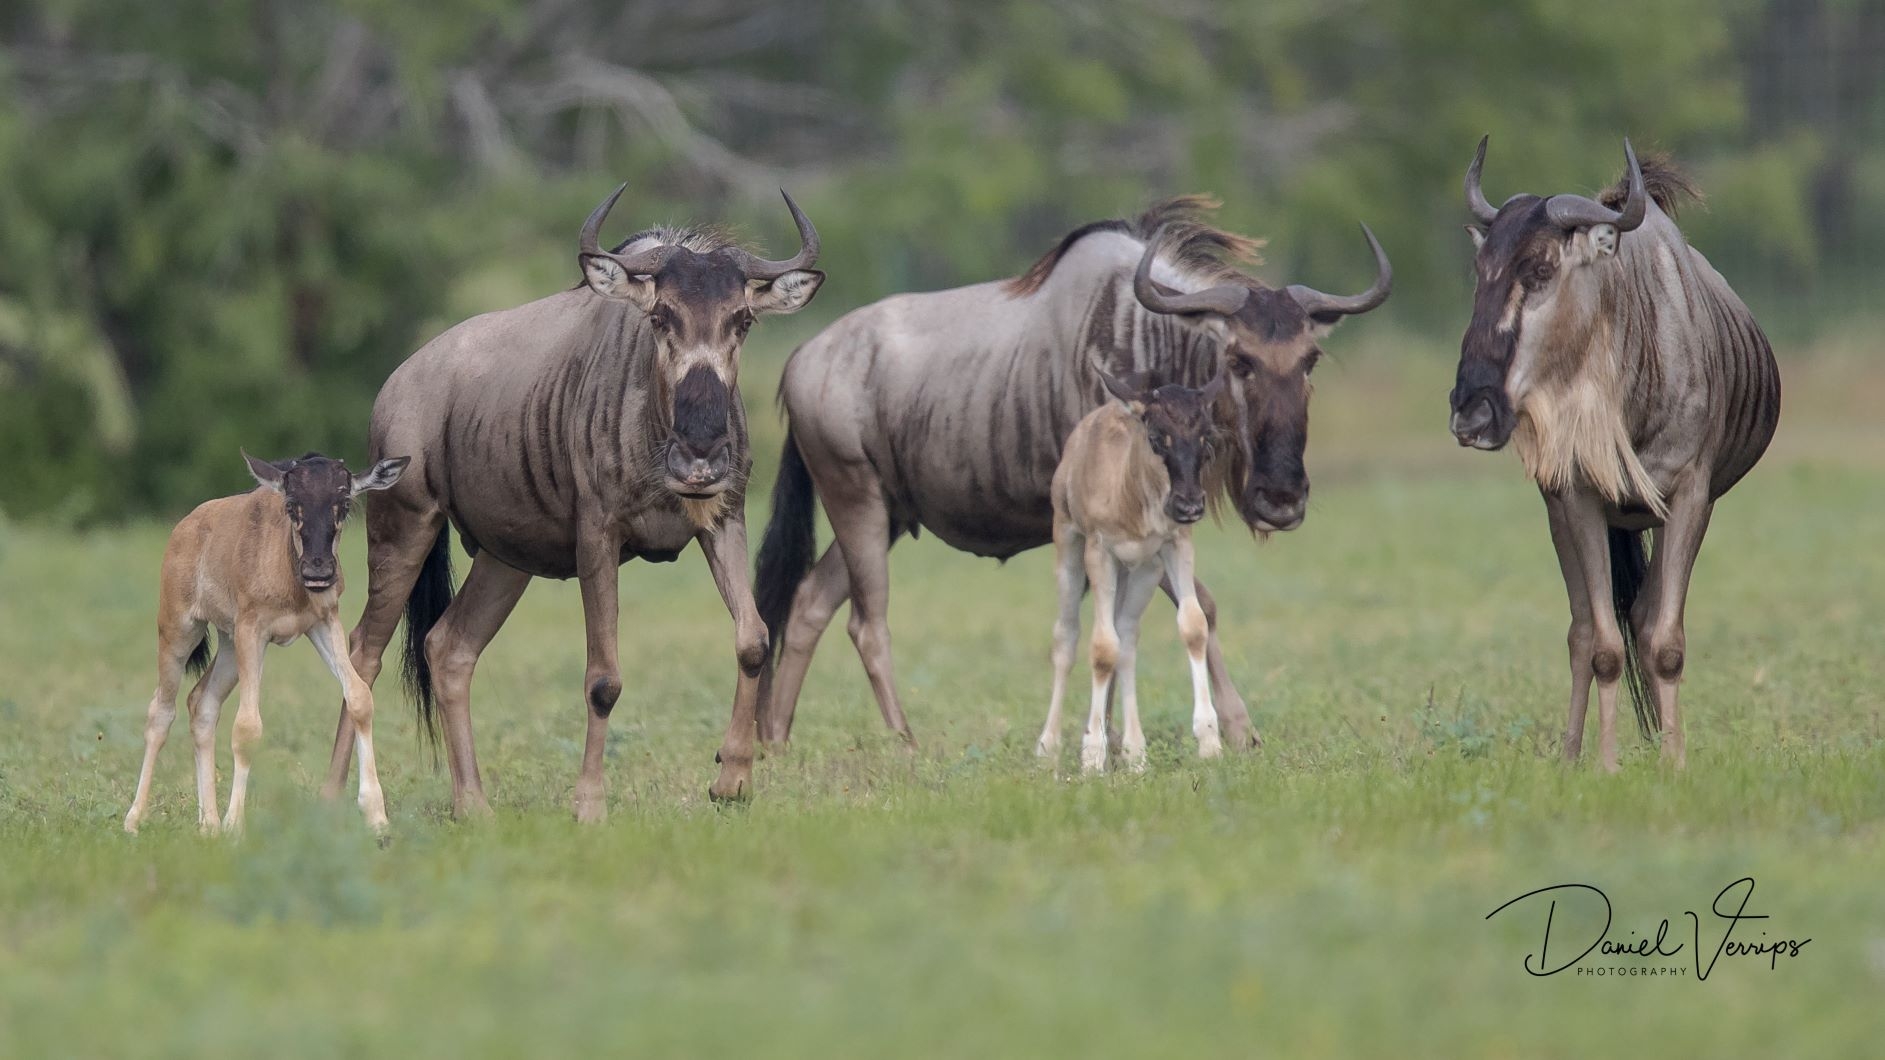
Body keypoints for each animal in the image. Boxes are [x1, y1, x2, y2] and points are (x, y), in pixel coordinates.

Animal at [123, 448, 410, 829]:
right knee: (161, 710)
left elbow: (359, 696)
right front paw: (235, 825)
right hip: (179, 628)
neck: (288, 571)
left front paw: (377, 817)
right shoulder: (252, 629)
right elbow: (247, 727)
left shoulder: (323, 621)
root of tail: (184, 527)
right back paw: (134, 819)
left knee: (202, 702)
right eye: (291, 503)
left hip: (229, 644)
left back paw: (208, 824)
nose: (318, 571)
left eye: (345, 502)